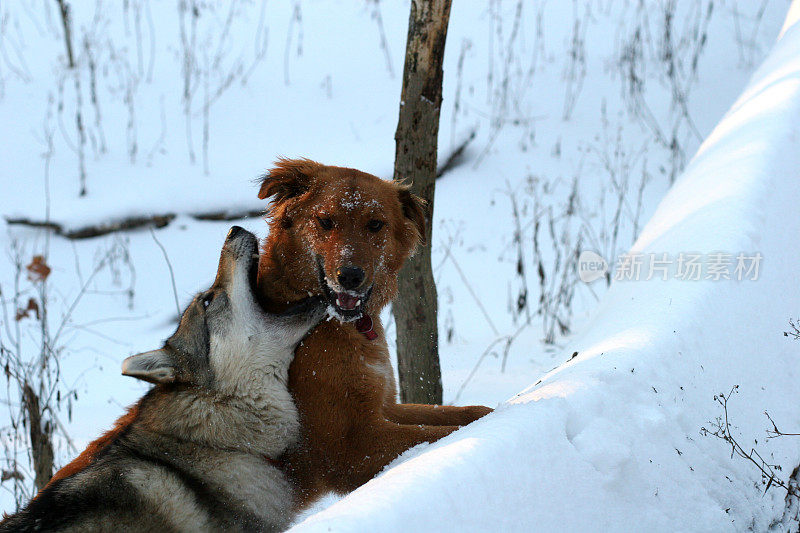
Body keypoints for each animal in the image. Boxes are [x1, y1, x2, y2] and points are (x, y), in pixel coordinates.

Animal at [258, 158, 494, 508]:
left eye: (375, 224)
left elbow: (457, 413)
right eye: (325, 221)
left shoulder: (383, 406)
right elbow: (434, 433)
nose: (350, 276)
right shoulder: (349, 445)